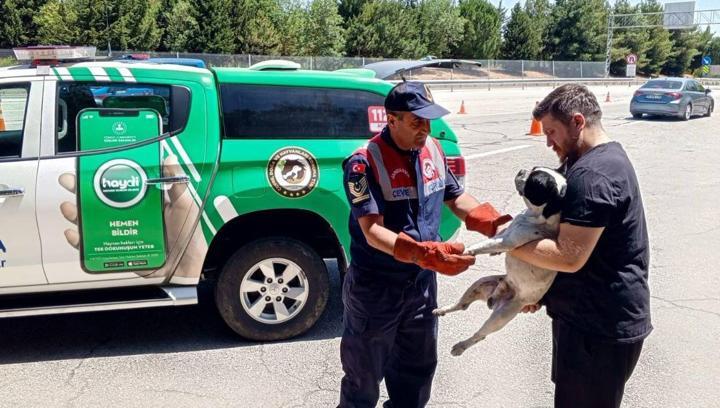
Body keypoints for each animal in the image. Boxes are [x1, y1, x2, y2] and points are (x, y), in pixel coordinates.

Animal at [434, 167, 568, 356]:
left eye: (534, 181)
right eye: (534, 169)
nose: (522, 170)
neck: (534, 216)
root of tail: (495, 298)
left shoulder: (507, 241)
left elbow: (483, 244)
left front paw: (466, 251)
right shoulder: (505, 233)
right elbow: (495, 237)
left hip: (500, 316)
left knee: (480, 335)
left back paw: (461, 346)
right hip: (480, 283)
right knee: (462, 304)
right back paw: (443, 309)